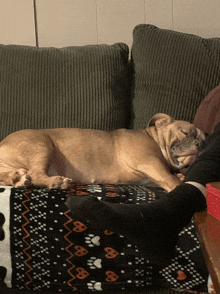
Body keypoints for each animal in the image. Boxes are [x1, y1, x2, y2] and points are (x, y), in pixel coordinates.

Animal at [0, 113, 205, 192]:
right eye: (185, 132)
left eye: (203, 138)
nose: (199, 144)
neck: (154, 139)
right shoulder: (150, 163)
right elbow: (169, 179)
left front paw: (180, 176)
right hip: (41, 146)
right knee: (36, 174)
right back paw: (55, 181)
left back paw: (17, 178)